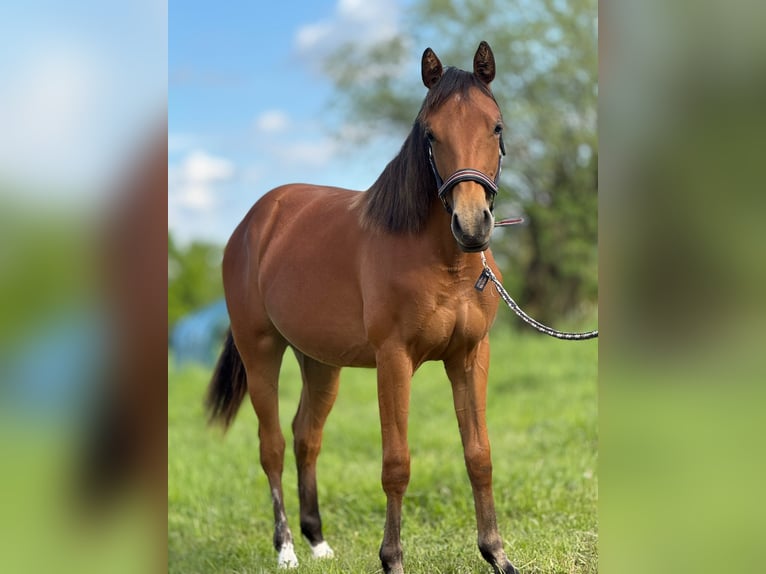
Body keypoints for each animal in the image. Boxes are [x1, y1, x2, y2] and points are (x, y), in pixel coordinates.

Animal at [205, 41, 519, 574]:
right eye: (430, 133)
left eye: (495, 126)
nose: (472, 224)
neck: (445, 262)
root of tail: (254, 221)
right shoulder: (393, 359)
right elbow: (396, 464)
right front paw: (391, 559)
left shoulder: (471, 355)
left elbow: (479, 454)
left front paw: (496, 554)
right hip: (261, 351)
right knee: (273, 446)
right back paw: (286, 549)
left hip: (319, 361)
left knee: (306, 436)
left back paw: (318, 541)